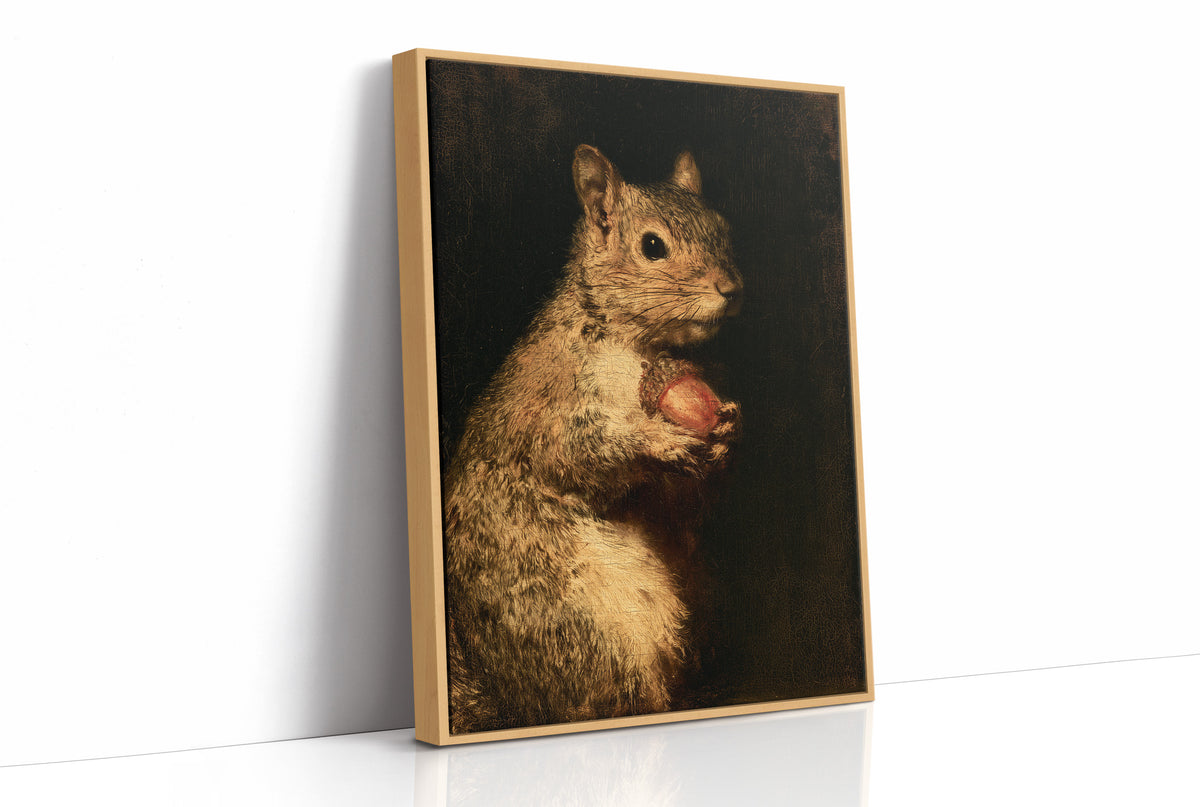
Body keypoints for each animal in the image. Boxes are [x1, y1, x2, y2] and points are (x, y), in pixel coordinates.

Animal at [443, 144, 744, 733]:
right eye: (652, 246)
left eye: (723, 227)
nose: (731, 288)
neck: (636, 343)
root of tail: (510, 698)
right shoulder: (551, 408)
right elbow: (580, 452)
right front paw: (658, 441)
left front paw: (726, 428)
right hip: (588, 628)